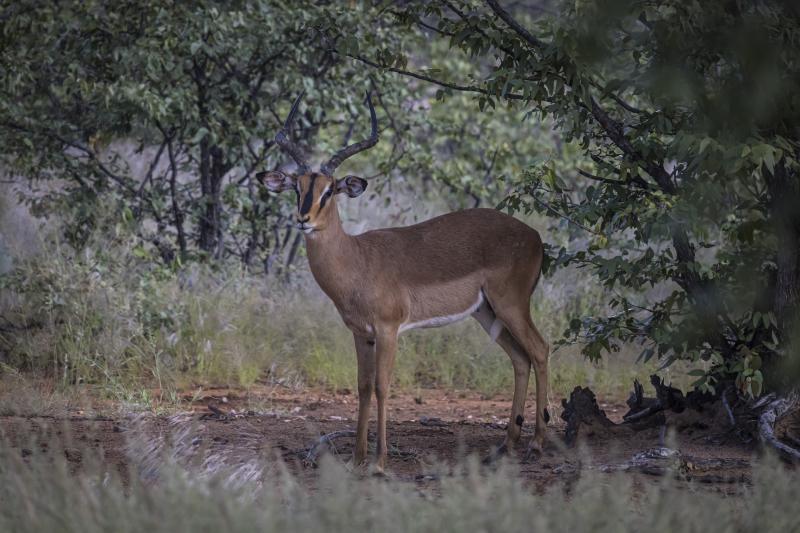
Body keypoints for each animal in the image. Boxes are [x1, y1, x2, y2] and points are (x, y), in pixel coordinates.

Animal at [258, 92, 550, 472]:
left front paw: (380, 461)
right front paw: (357, 458)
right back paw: (505, 446)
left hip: (511, 304)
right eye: (297, 187)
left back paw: (538, 444)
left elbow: (383, 386)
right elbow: (363, 387)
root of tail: (535, 236)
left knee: (540, 350)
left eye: (330, 190)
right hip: (487, 312)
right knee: (520, 359)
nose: (303, 219)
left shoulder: (388, 329)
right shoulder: (361, 334)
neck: (357, 260)